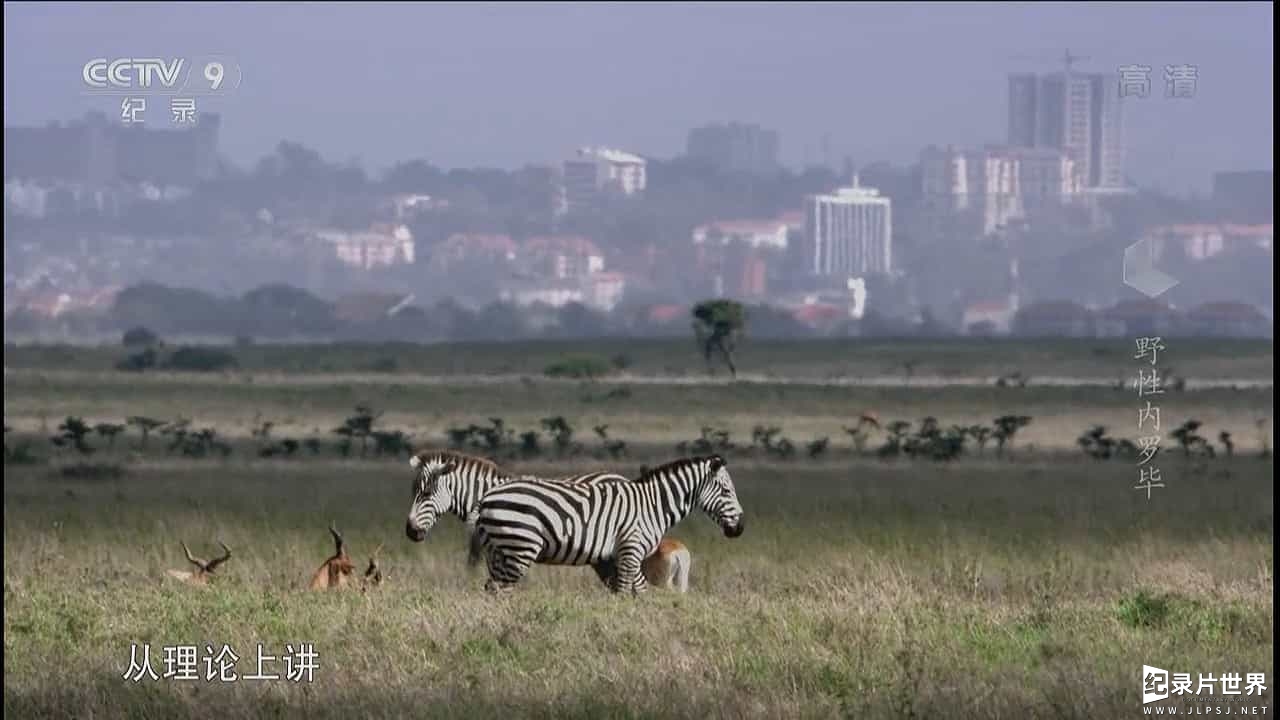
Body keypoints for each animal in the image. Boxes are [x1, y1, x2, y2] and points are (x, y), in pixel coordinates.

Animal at [465, 453, 747, 594]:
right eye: (726, 491)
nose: (740, 528)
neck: (653, 504)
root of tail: (487, 497)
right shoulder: (630, 550)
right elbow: (624, 591)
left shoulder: (623, 556)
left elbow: (639, 590)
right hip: (520, 547)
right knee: (500, 588)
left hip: (498, 550)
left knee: (492, 587)